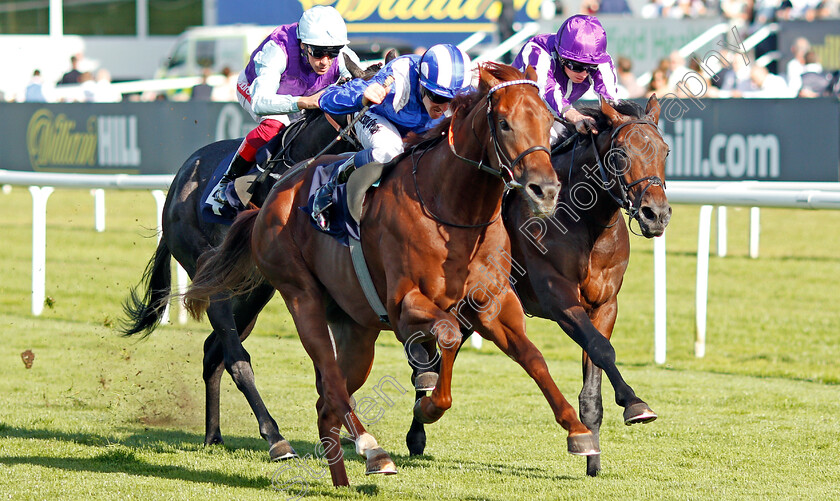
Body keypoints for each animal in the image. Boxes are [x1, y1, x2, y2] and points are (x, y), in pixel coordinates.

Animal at [119, 54, 390, 460]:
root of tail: (177, 184)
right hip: (212, 275)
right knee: (234, 357)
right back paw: (275, 437)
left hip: (252, 293)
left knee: (212, 351)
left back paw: (213, 434)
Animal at [184, 62, 604, 484]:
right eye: (503, 123)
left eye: (548, 120)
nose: (545, 190)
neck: (452, 211)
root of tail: (270, 197)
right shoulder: (404, 304)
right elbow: (448, 336)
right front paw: (428, 405)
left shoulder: (494, 303)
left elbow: (532, 357)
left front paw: (578, 432)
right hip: (300, 296)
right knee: (330, 382)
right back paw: (370, 450)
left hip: (355, 327)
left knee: (328, 399)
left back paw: (344, 475)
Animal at [404, 94, 672, 476]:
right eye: (620, 153)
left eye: (664, 151)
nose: (656, 215)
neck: (586, 222)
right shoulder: (558, 299)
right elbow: (602, 348)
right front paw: (635, 403)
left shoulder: (605, 305)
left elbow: (595, 370)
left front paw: (593, 460)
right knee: (425, 359)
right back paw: (415, 432)